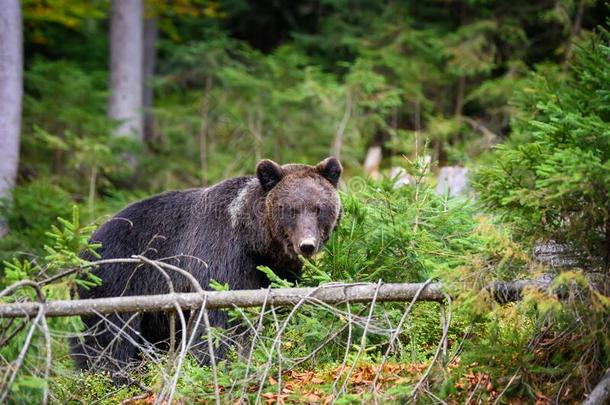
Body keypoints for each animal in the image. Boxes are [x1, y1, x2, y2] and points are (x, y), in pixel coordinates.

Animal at [70, 156, 342, 378]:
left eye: (319, 208)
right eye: (290, 209)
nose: (307, 245)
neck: (255, 241)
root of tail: (85, 247)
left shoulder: (276, 270)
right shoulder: (220, 257)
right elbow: (215, 320)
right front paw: (212, 364)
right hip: (115, 283)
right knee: (108, 339)